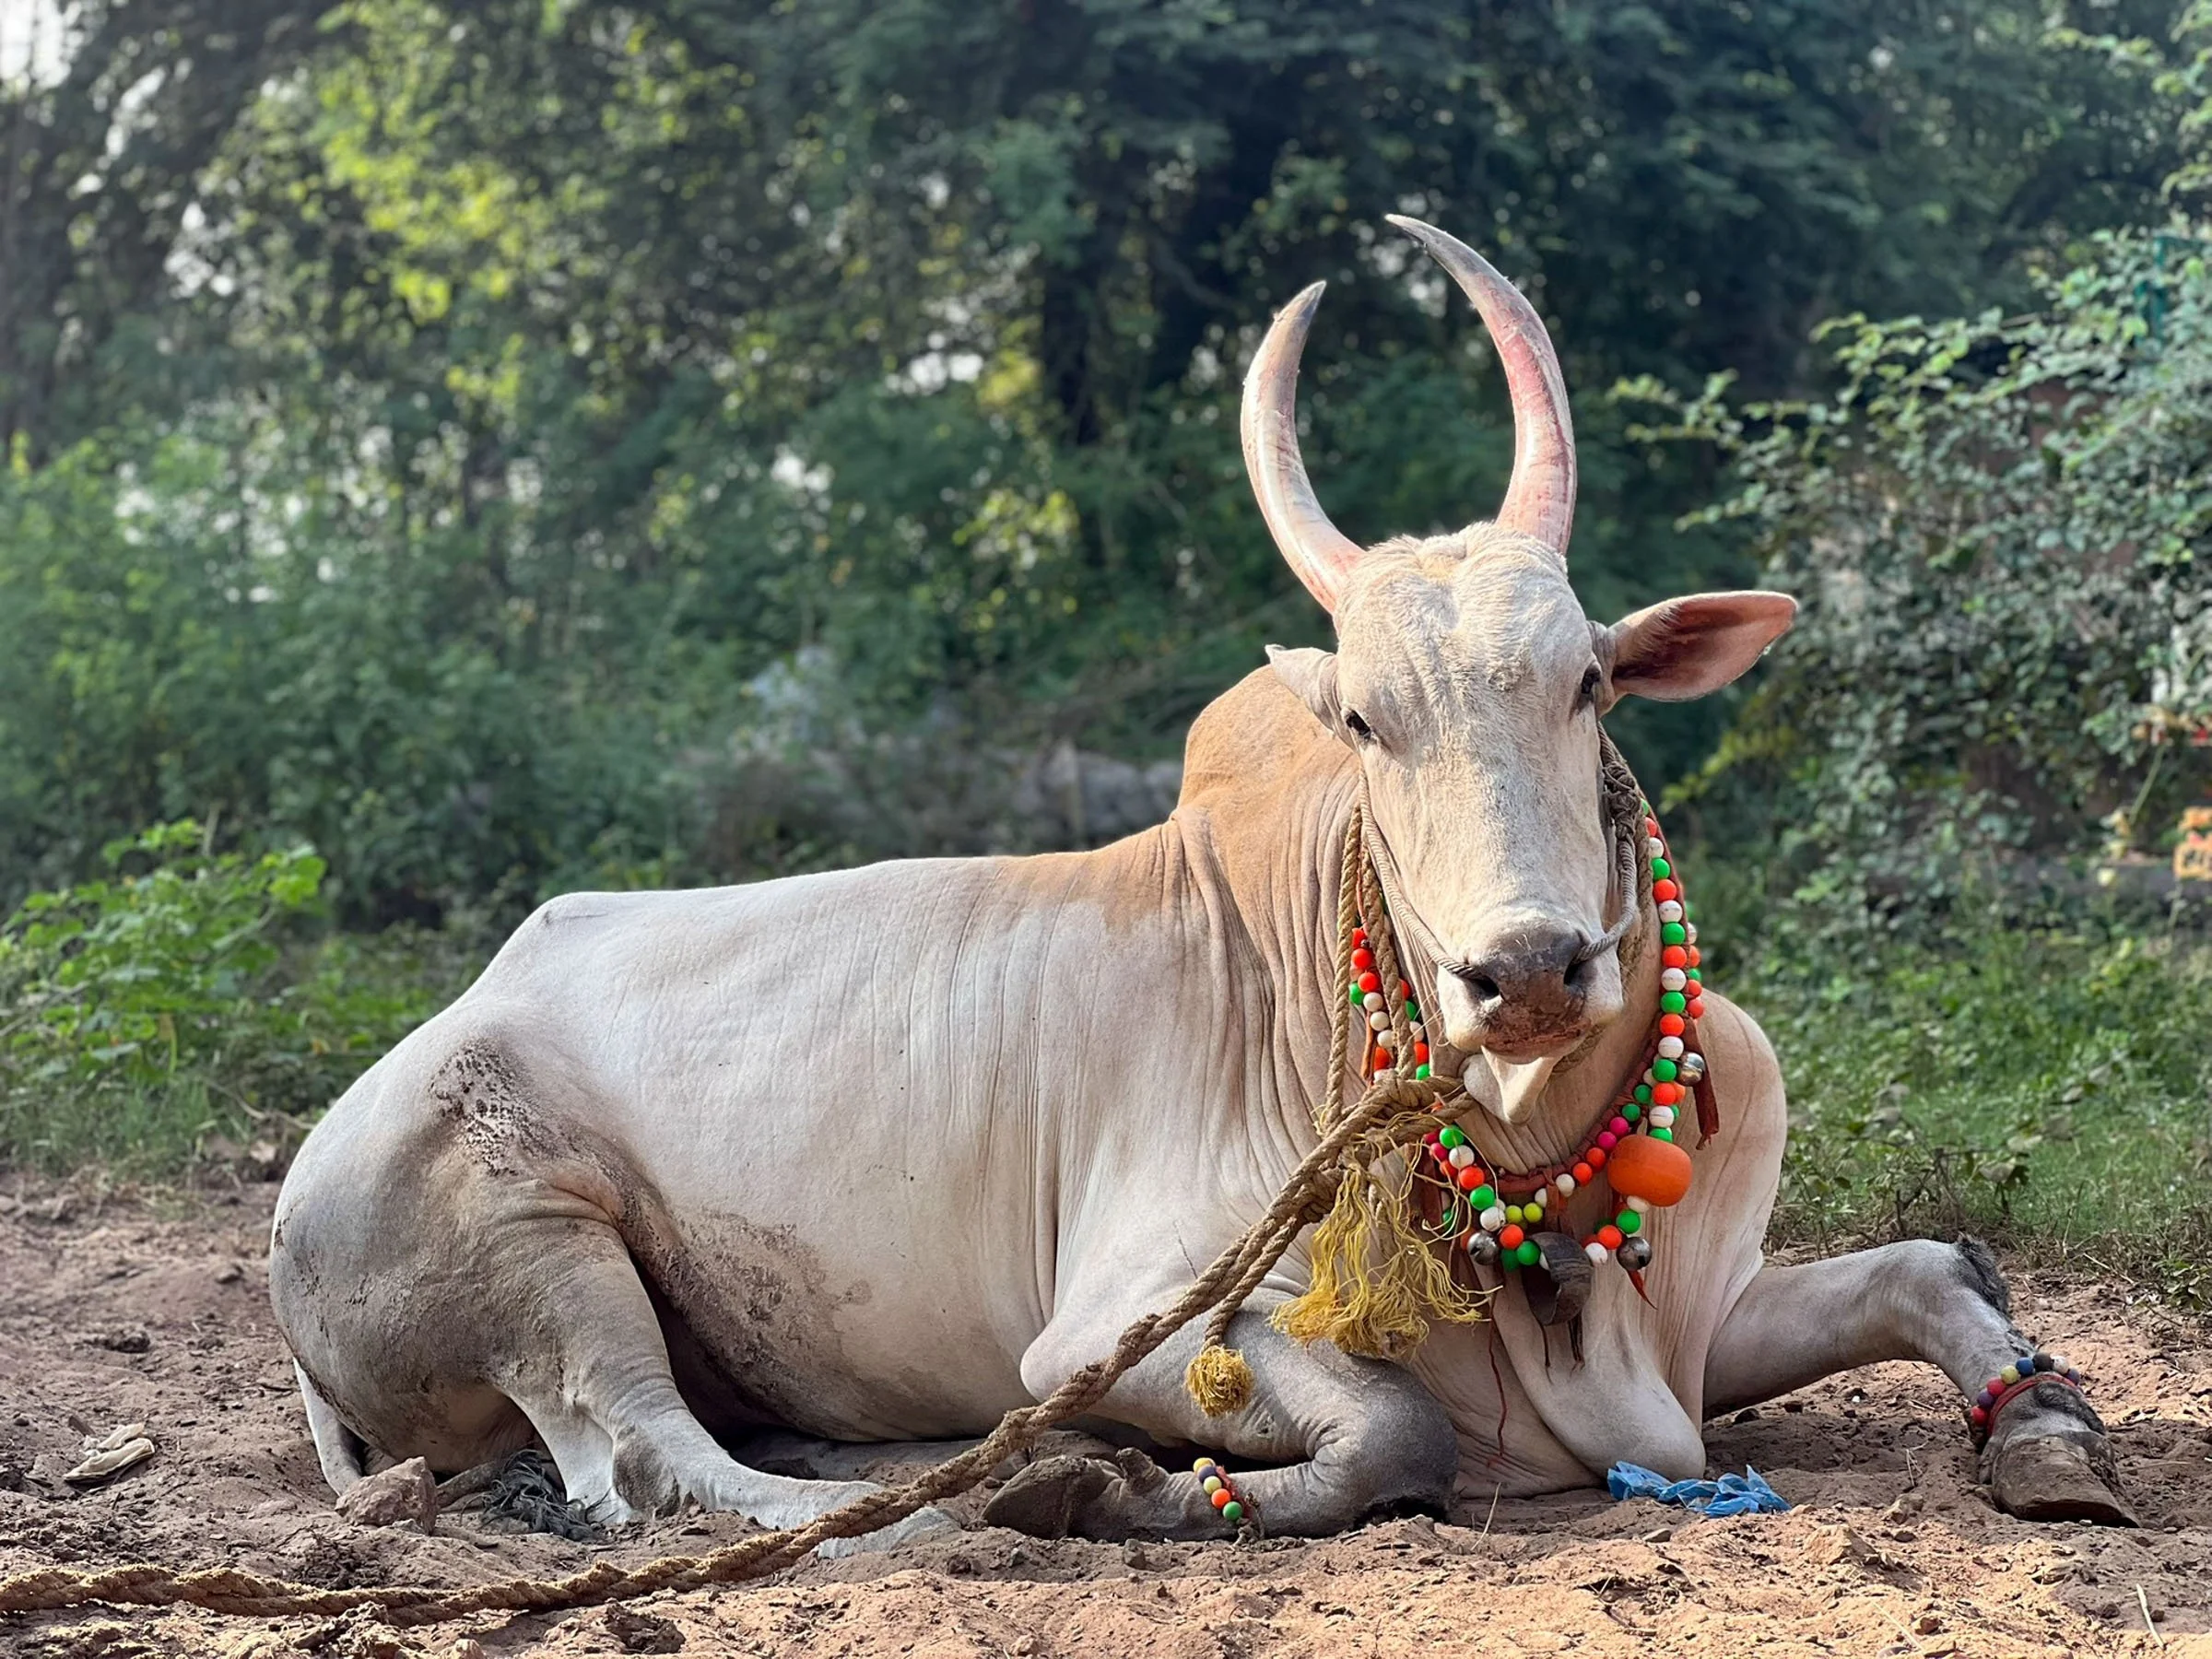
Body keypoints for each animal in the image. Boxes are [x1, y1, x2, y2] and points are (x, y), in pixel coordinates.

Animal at [269, 217, 2129, 1545]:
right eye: (1367, 718)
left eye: (1591, 681)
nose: (1529, 970)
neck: (1527, 1151)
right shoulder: (1128, 1316)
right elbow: (1400, 1428)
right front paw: (1105, 1480)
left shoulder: (1698, 1321)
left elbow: (1936, 1268)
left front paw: (2050, 1429)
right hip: (529, 1234)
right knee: (649, 1461)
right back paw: (935, 1495)